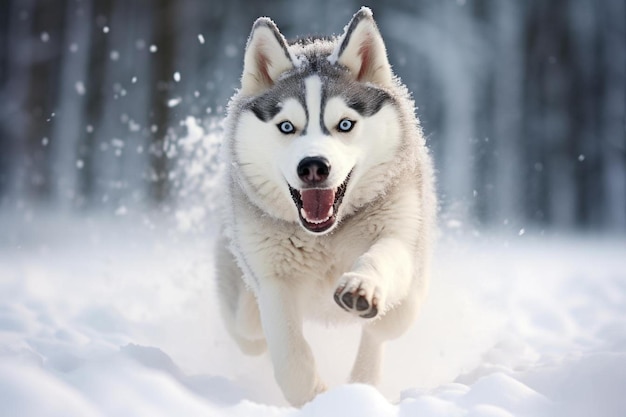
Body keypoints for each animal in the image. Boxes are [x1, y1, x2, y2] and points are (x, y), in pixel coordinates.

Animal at [214, 5, 434, 404]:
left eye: (345, 124)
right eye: (286, 126)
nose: (313, 166)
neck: (324, 238)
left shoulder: (401, 237)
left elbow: (390, 293)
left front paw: (362, 289)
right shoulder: (273, 278)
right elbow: (289, 356)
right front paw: (317, 397)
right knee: (250, 331)